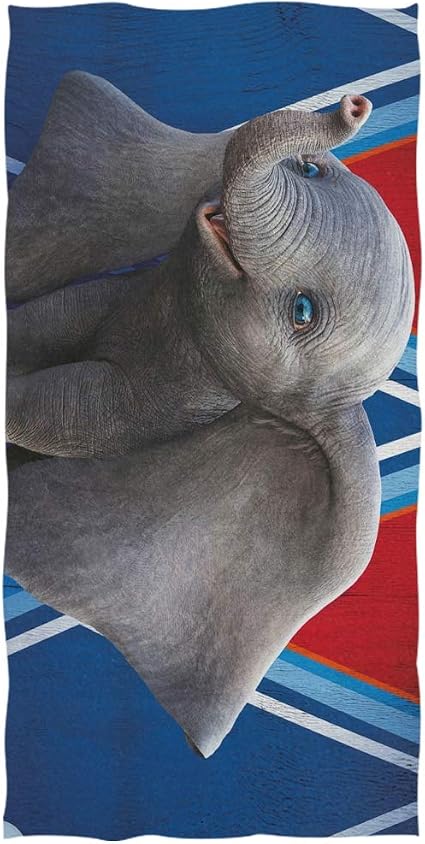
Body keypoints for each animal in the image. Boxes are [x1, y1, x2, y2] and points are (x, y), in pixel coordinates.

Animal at [7, 89, 414, 458]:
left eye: (302, 311)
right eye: (310, 169)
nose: (355, 105)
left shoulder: (167, 404)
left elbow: (69, 409)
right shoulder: (117, 293)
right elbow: (48, 319)